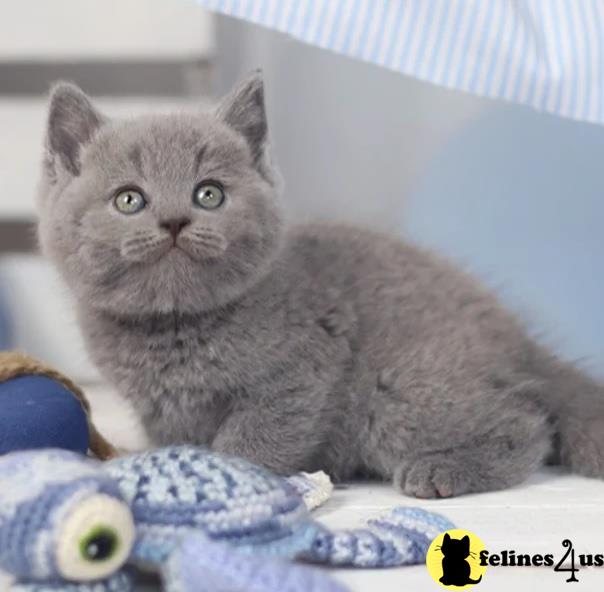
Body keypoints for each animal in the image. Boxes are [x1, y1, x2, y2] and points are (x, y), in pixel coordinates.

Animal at [36, 74, 604, 500]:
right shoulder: (160, 410)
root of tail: (520, 343)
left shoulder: (304, 368)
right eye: (129, 199)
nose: (175, 221)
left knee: (527, 423)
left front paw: (227, 477)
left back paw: (440, 470)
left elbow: (256, 436)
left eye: (209, 194)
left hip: (398, 391)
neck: (174, 325)